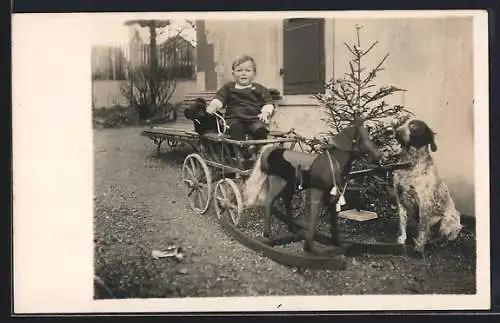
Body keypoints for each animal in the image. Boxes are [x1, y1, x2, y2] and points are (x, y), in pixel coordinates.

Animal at [392, 117, 462, 256]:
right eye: (402, 123)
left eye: (414, 126)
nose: (396, 131)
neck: (410, 163)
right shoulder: (399, 198)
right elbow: (402, 223)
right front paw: (401, 240)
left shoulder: (424, 203)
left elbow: (423, 228)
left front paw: (419, 248)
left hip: (447, 221)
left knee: (446, 236)